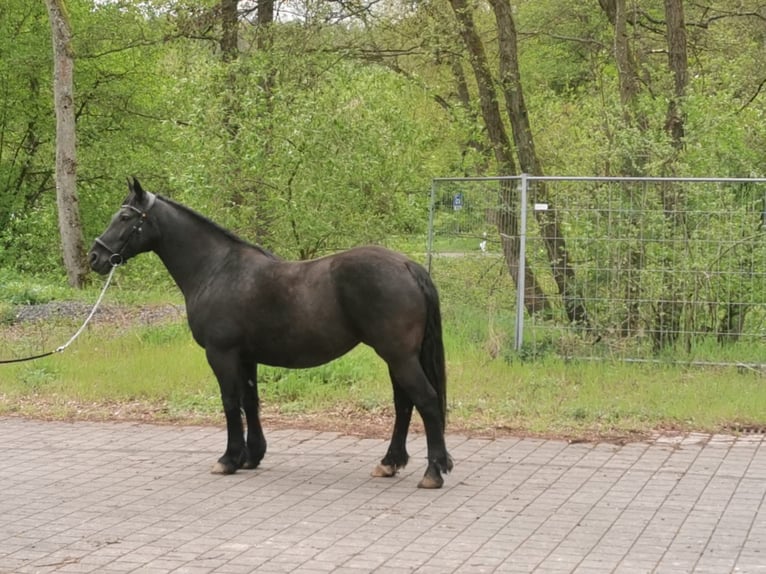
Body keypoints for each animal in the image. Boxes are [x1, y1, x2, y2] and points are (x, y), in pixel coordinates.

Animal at [89, 178, 453, 488]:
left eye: (124, 217)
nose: (96, 256)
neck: (216, 269)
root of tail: (407, 265)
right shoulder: (246, 357)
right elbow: (250, 401)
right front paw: (251, 456)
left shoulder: (221, 354)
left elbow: (230, 401)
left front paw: (228, 459)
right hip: (398, 357)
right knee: (404, 404)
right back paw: (390, 463)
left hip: (398, 356)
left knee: (425, 400)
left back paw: (433, 472)